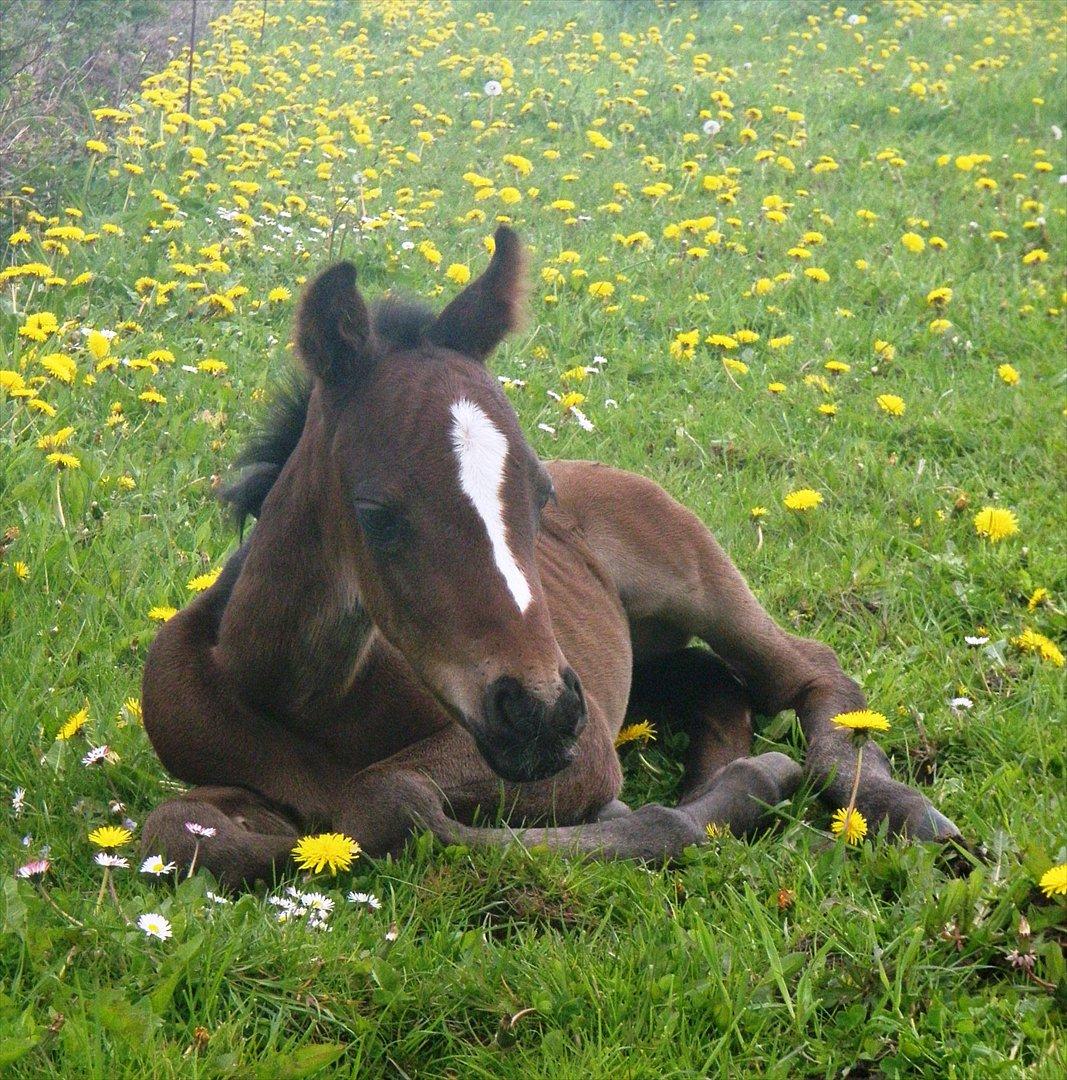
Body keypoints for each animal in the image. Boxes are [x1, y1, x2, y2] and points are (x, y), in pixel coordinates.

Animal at [139, 227, 959, 885]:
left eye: (538, 495)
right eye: (378, 516)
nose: (542, 712)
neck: (296, 695)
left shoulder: (578, 751)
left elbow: (387, 801)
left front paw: (716, 797)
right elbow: (177, 832)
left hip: (697, 577)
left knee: (808, 669)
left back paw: (898, 807)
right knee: (711, 683)